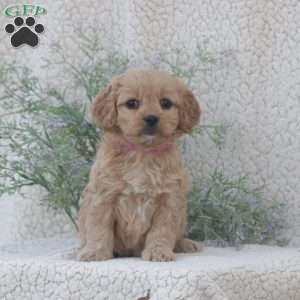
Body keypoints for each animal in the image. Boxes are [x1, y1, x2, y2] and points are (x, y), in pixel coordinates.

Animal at [78, 69, 203, 262]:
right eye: (132, 103)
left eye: (165, 103)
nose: (151, 118)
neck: (143, 153)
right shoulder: (103, 196)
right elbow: (99, 228)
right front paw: (95, 252)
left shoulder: (169, 199)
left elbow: (162, 231)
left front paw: (159, 252)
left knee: (177, 236)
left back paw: (185, 244)